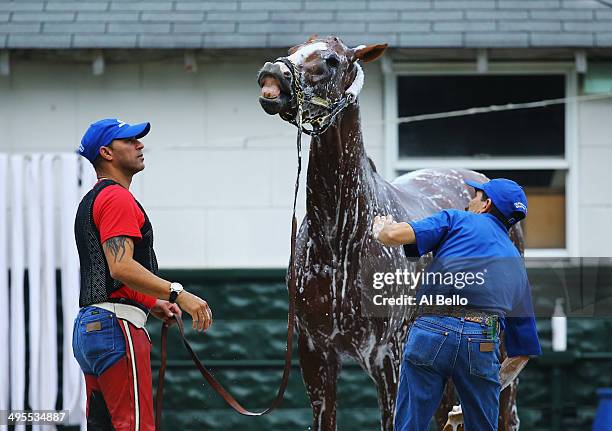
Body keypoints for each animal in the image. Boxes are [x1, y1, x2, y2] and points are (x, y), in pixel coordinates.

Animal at [256, 35, 520, 430]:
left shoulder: (390, 360)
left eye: (332, 60)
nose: (273, 75)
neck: (341, 241)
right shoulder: (316, 356)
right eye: (293, 49)